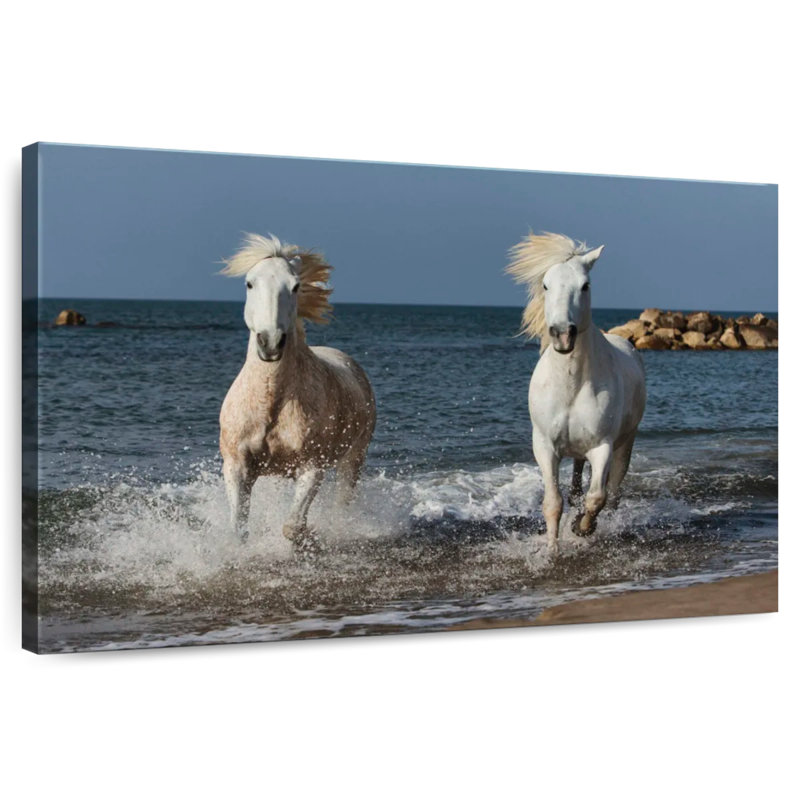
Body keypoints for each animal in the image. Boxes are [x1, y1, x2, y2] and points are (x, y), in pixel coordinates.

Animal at [219, 233, 376, 549]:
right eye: (249, 283)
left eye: (295, 285)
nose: (270, 342)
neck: (270, 401)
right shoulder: (236, 466)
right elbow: (239, 529)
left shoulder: (312, 468)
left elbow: (292, 527)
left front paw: (308, 538)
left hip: (354, 459)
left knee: (342, 503)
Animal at [507, 232, 646, 556]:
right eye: (546, 285)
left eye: (585, 285)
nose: (562, 334)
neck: (570, 387)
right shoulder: (544, 446)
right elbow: (553, 503)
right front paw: (552, 549)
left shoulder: (602, 446)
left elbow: (597, 497)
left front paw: (582, 528)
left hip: (625, 444)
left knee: (613, 491)